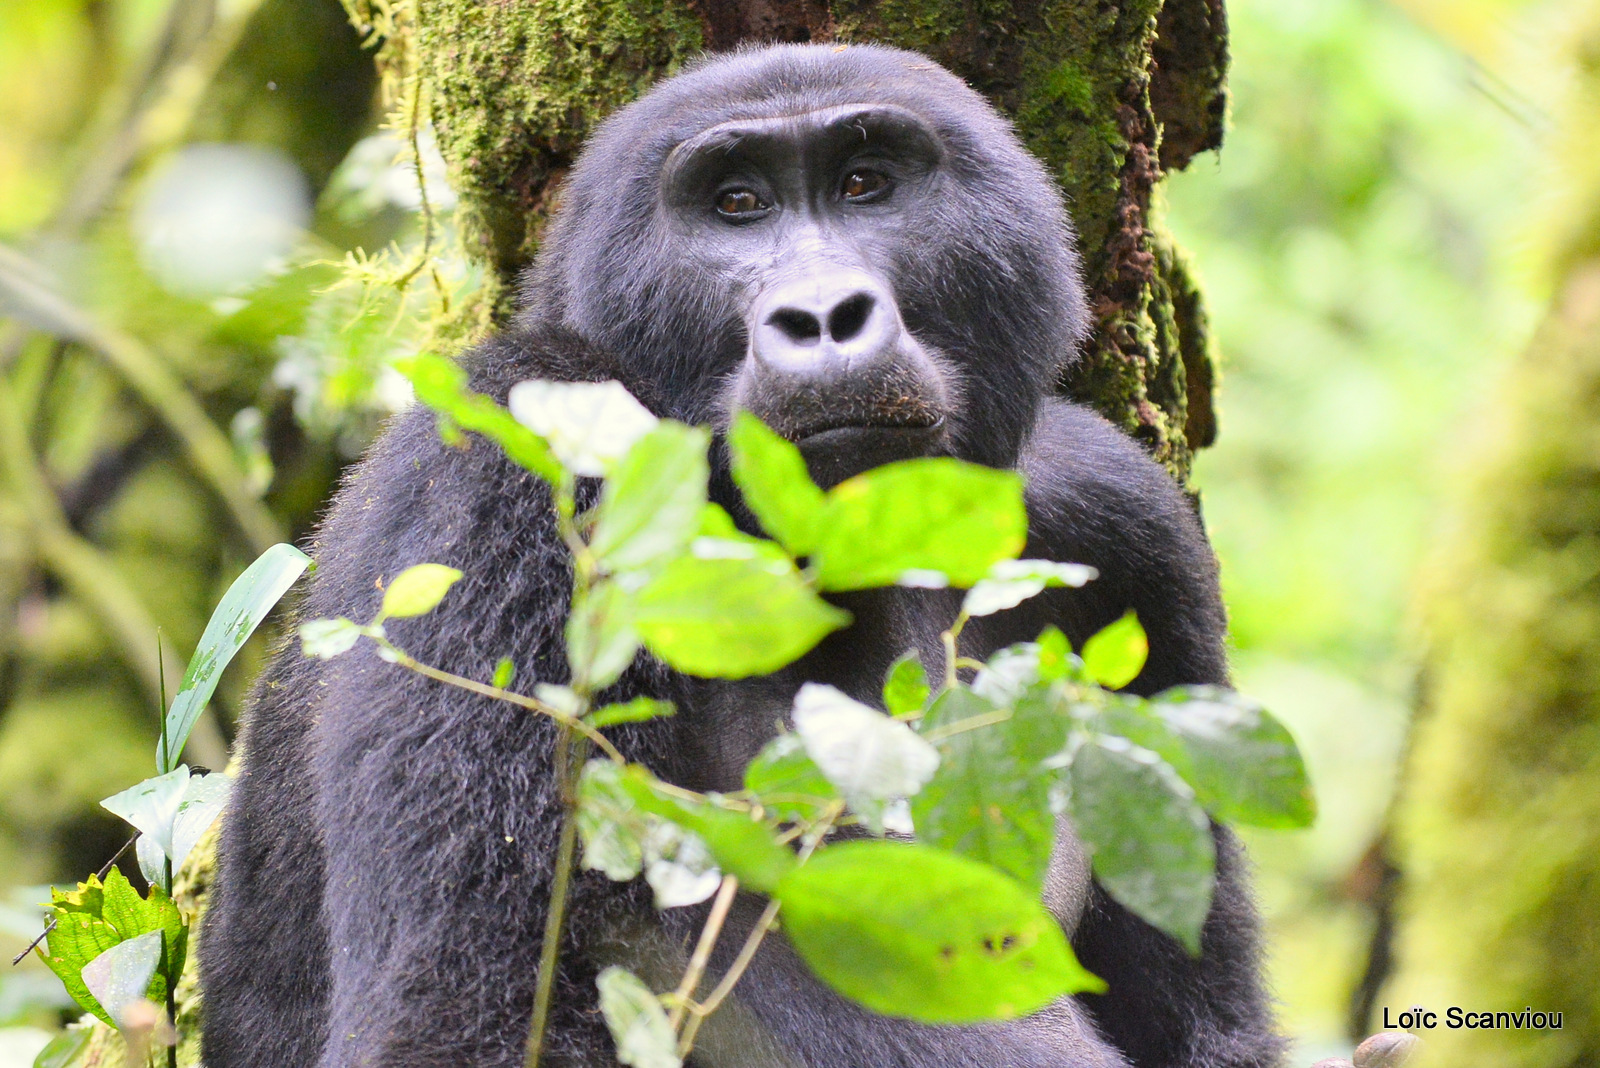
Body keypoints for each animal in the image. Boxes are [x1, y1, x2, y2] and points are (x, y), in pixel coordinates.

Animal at [200, 45, 1280, 1068]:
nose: (823, 318)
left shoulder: (1120, 520)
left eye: (864, 184)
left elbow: (1208, 1014)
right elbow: (471, 1021)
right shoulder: (503, 456)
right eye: (737, 206)